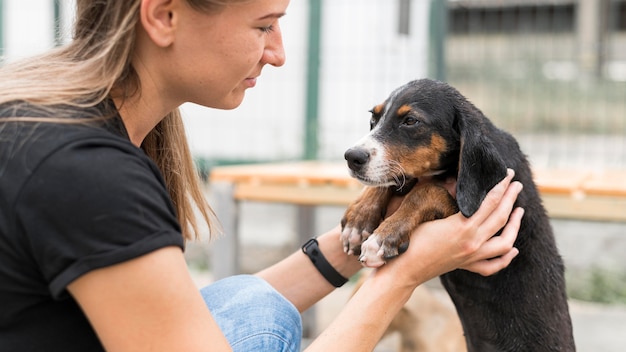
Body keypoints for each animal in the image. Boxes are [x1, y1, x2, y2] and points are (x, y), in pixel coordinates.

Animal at [338, 80, 572, 352]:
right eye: (373, 119)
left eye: (410, 121)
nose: (352, 157)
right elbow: (390, 181)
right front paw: (358, 220)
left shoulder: (494, 214)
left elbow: (427, 191)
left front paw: (384, 235)